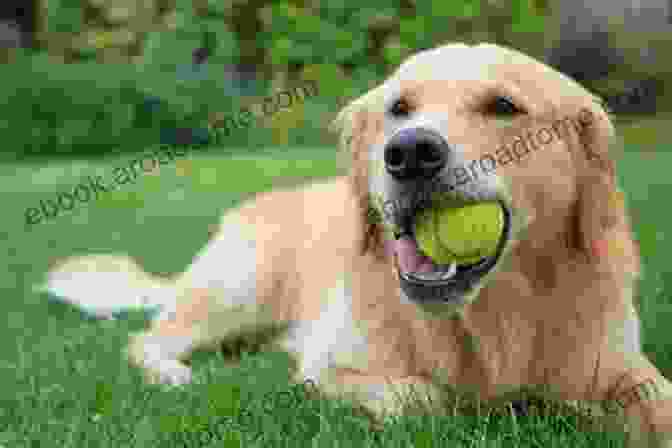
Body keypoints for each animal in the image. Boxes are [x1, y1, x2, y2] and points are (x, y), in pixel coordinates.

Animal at [39, 43, 672, 446]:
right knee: (147, 339)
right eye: (399, 109)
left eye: (503, 106)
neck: (490, 318)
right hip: (235, 293)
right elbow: (426, 399)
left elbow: (654, 400)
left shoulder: (625, 365)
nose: (409, 152)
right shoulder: (331, 367)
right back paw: (172, 374)